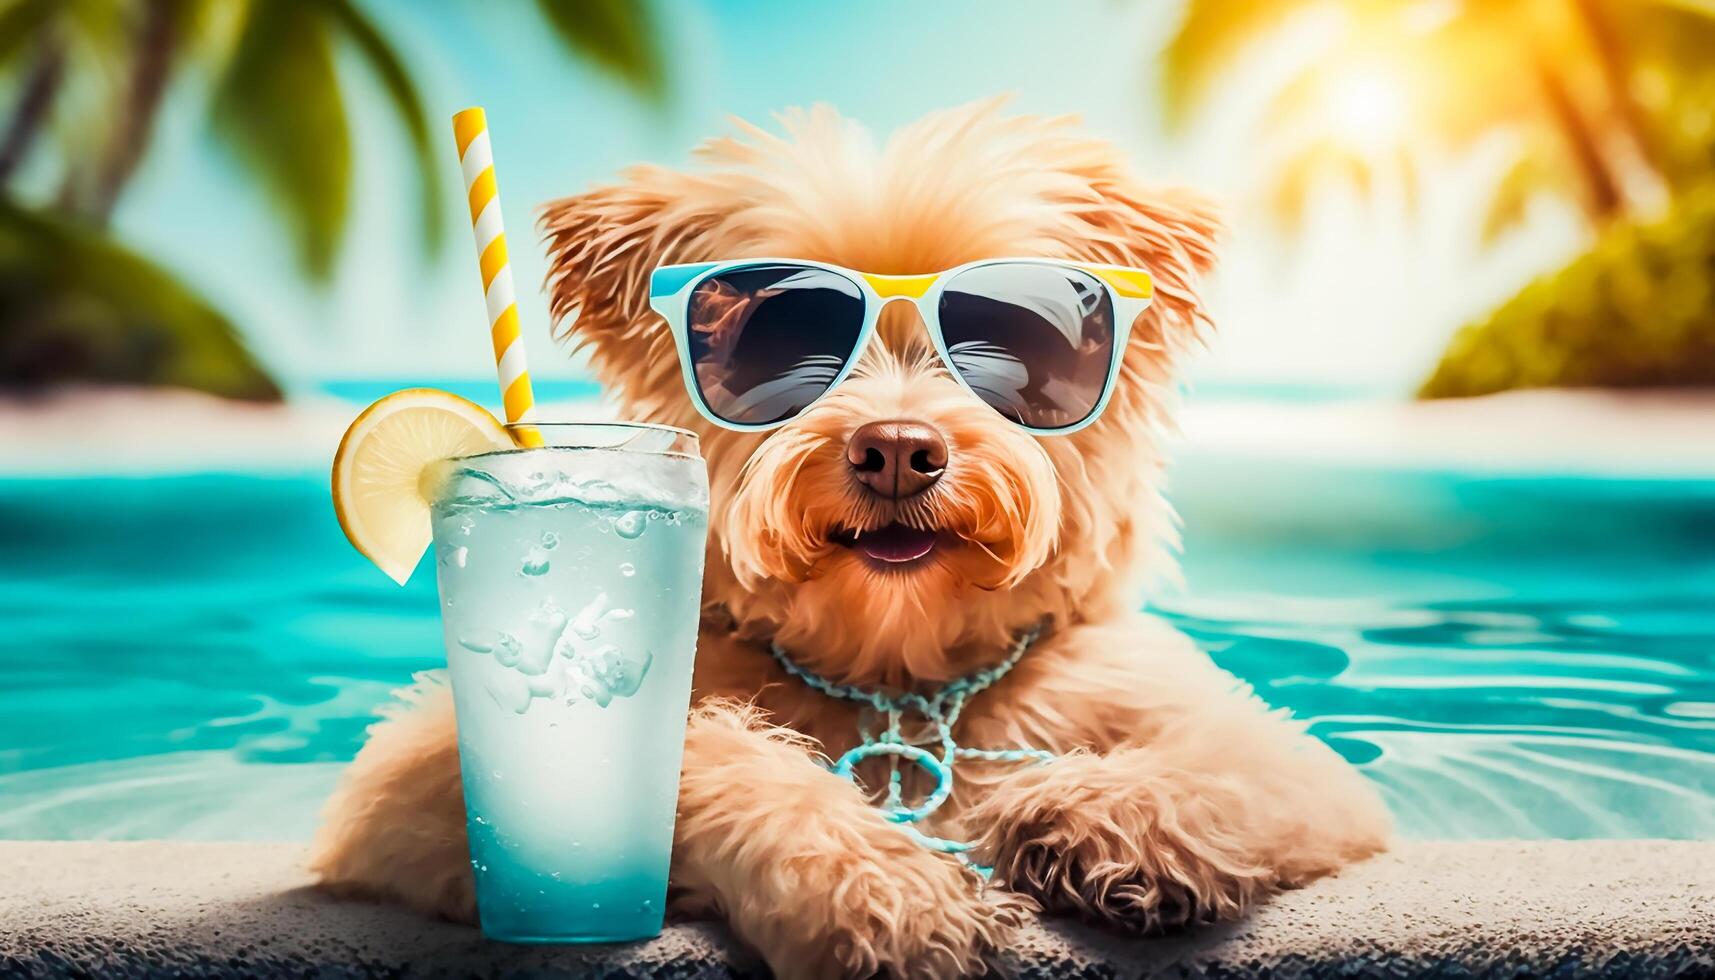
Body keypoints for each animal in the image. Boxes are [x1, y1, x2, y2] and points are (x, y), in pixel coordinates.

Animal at [308, 99, 1385, 980]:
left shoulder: (1280, 764)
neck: (895, 675)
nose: (898, 449)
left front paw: (1111, 816)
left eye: (1017, 339)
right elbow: (702, 750)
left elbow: (1240, 758)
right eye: (775, 340)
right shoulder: (407, 791)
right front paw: (880, 890)